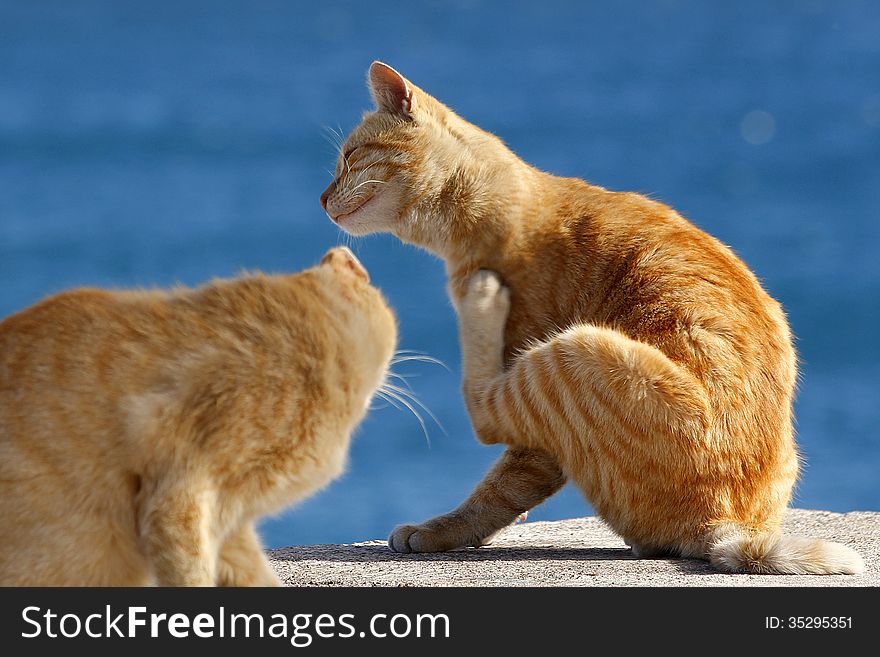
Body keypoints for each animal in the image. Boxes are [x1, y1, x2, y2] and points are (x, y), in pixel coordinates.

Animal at [320, 61, 864, 576]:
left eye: (348, 158)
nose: (322, 200)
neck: (497, 212)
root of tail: (725, 524)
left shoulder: (536, 423)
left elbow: (499, 483)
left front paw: (440, 531)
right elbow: (509, 488)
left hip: (573, 348)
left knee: (484, 411)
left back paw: (481, 301)